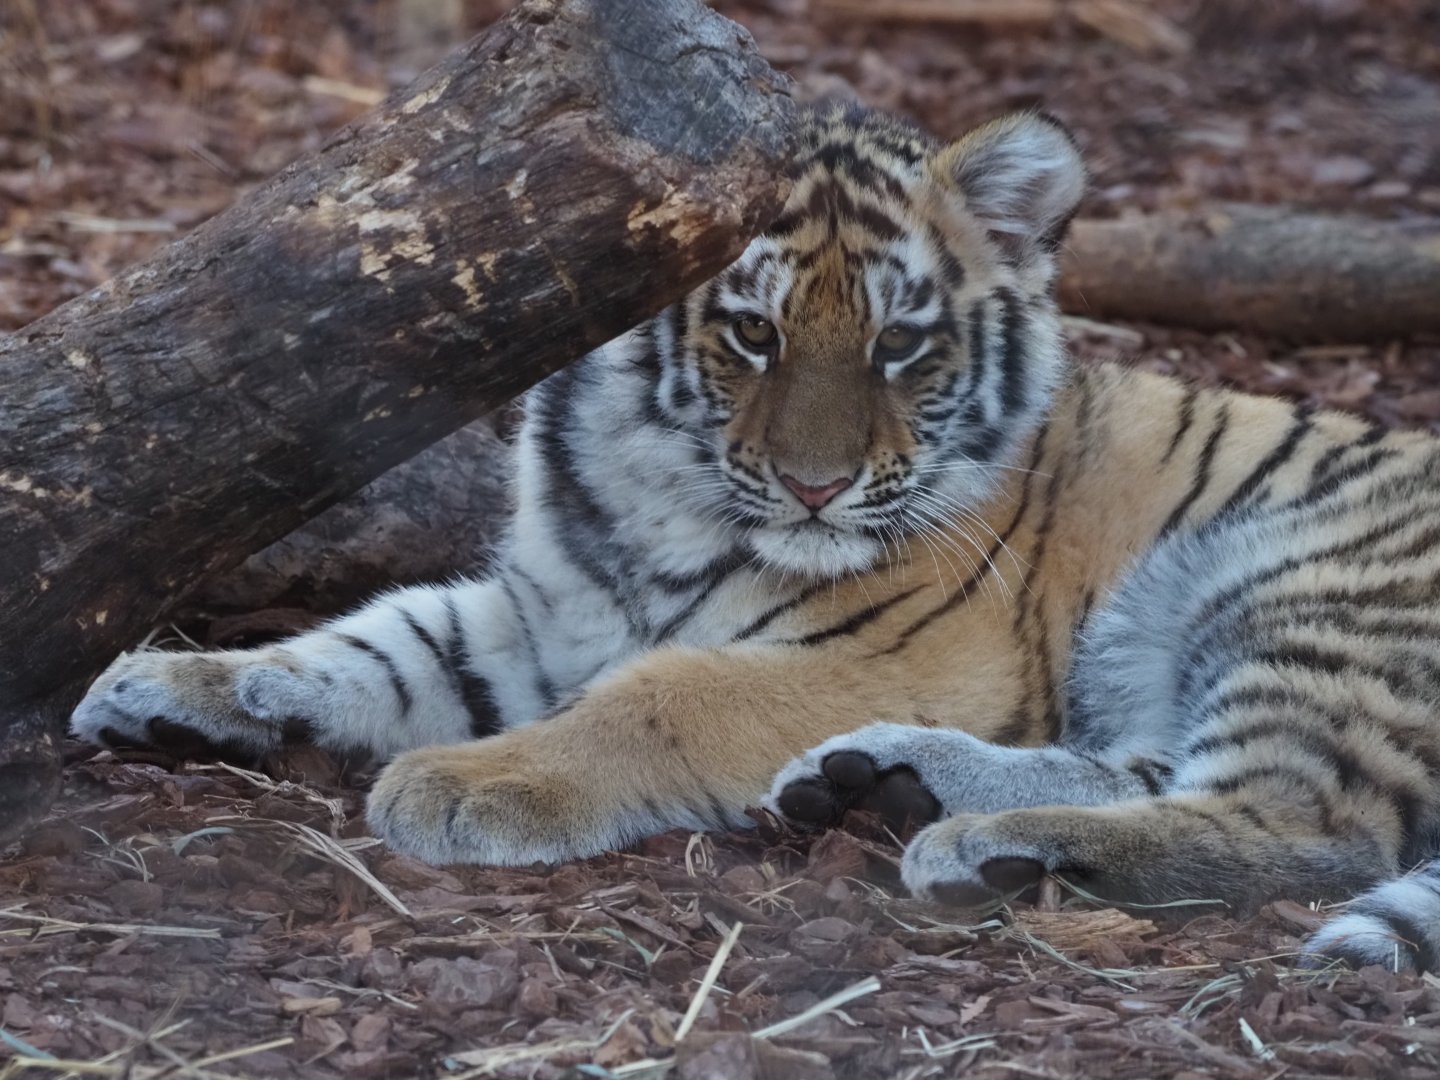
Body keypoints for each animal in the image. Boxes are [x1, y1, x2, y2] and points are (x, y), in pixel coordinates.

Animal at [69, 103, 1440, 973]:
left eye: (900, 342)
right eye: (753, 333)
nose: (816, 488)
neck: (654, 498)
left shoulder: (911, 650)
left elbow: (663, 691)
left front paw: (464, 785)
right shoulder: (541, 606)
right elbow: (374, 641)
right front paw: (174, 683)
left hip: (1306, 595)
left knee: (1298, 825)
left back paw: (973, 844)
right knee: (1165, 772)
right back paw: (883, 785)